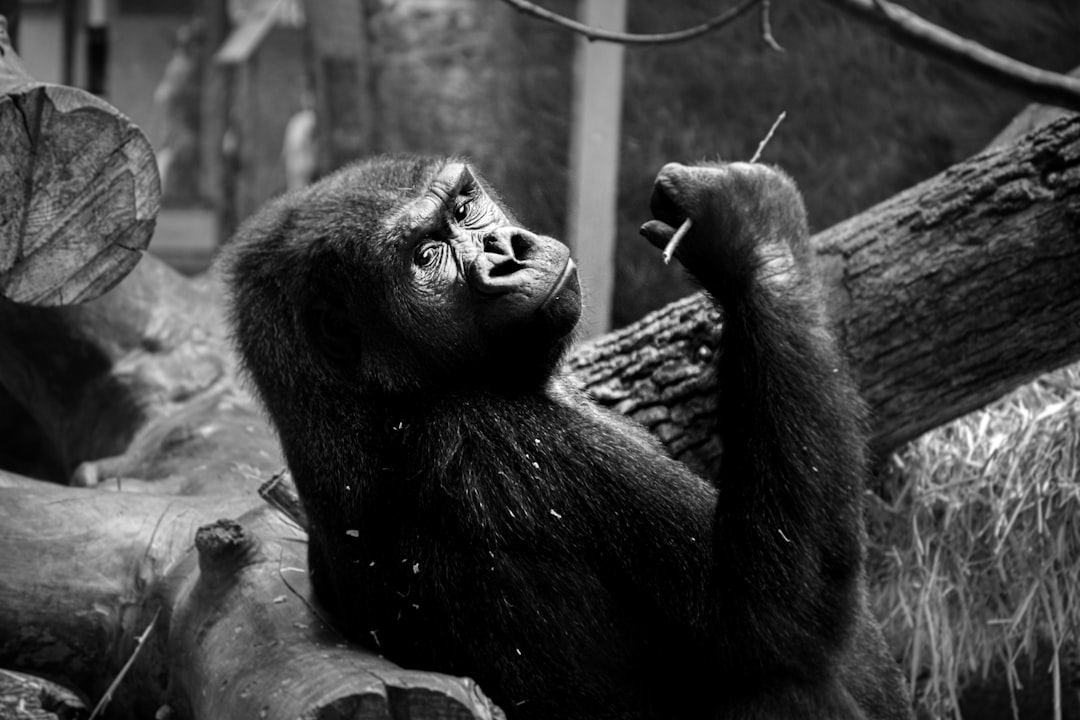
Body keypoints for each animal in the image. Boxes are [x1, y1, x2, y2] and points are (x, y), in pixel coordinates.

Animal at [219, 157, 911, 720]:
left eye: (463, 209)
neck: (362, 405)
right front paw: (751, 233)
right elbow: (770, 623)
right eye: (426, 256)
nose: (509, 251)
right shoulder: (492, 439)